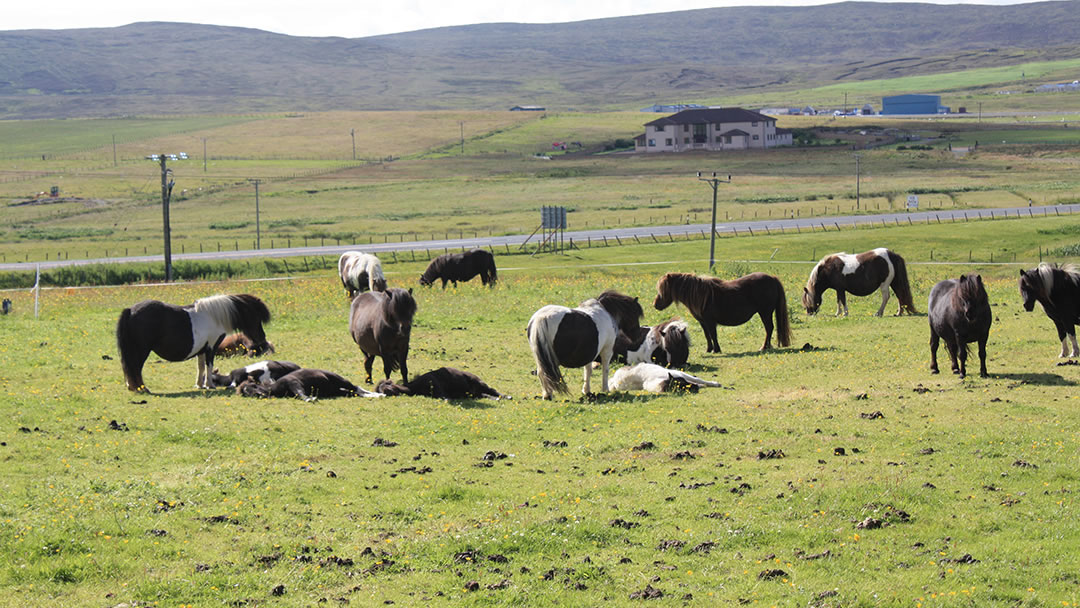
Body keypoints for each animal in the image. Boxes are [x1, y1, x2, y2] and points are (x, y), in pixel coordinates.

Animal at [116, 294, 271, 392]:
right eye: (256, 317)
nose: (262, 338)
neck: (214, 316)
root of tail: (130, 310)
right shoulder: (211, 348)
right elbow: (209, 366)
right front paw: (210, 385)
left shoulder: (202, 350)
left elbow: (200, 367)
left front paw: (199, 385)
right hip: (141, 350)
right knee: (135, 368)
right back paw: (141, 388)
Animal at [654, 272, 791, 354]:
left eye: (663, 290)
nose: (655, 305)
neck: (700, 295)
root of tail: (772, 278)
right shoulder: (703, 322)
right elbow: (707, 335)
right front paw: (709, 349)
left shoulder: (710, 321)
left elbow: (713, 335)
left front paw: (716, 350)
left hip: (765, 312)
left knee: (769, 328)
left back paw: (764, 347)